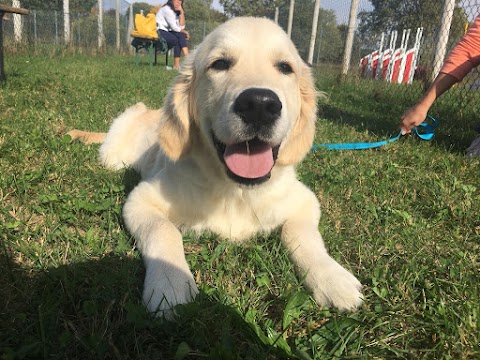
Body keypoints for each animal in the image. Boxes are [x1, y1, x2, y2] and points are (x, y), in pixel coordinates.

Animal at [71, 16, 362, 318]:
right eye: (220, 64)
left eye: (285, 67)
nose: (259, 105)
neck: (235, 190)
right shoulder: (140, 200)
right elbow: (163, 230)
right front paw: (169, 284)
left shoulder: (304, 201)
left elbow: (301, 234)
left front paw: (332, 278)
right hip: (114, 155)